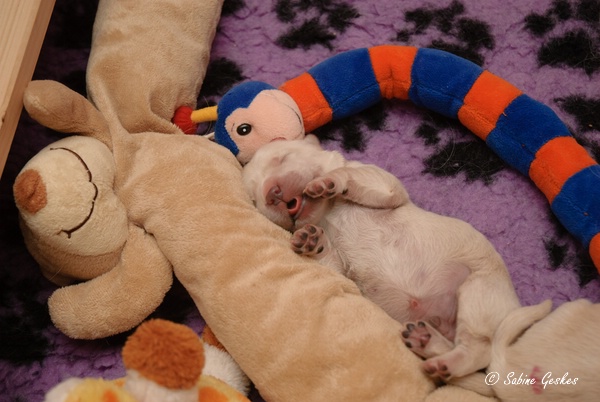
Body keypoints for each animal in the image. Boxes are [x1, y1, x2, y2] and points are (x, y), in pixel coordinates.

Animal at [242, 134, 520, 385]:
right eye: (254, 198)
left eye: (282, 158)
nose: (272, 194)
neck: (328, 213)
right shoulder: (341, 265)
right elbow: (332, 261)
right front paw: (310, 240)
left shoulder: (384, 184)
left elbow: (355, 175)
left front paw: (328, 181)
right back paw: (426, 342)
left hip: (480, 290)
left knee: (479, 348)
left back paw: (445, 360)